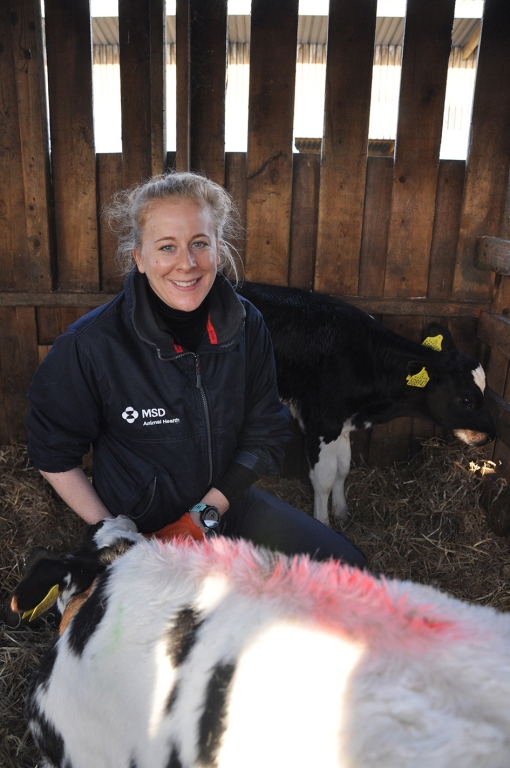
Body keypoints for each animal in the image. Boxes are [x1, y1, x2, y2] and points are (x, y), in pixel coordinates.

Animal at [236, 282, 496, 526]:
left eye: (485, 391)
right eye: (466, 400)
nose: (491, 435)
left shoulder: (343, 422)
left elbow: (342, 469)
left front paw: (341, 513)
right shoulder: (321, 421)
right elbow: (324, 478)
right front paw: (322, 522)